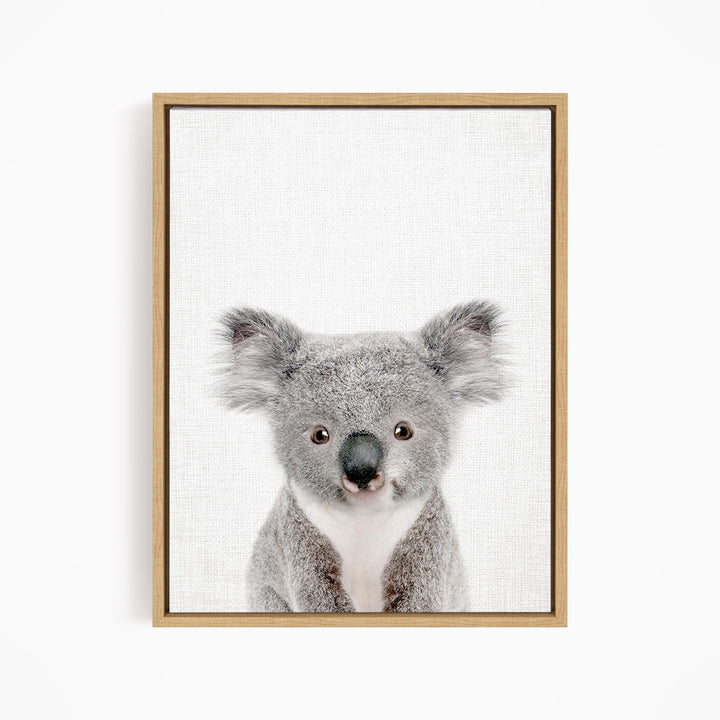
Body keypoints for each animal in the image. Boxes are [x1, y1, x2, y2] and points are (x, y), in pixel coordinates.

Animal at [217, 300, 504, 612]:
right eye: (320, 435)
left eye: (403, 431)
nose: (362, 471)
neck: (364, 518)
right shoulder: (299, 537)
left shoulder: (427, 538)